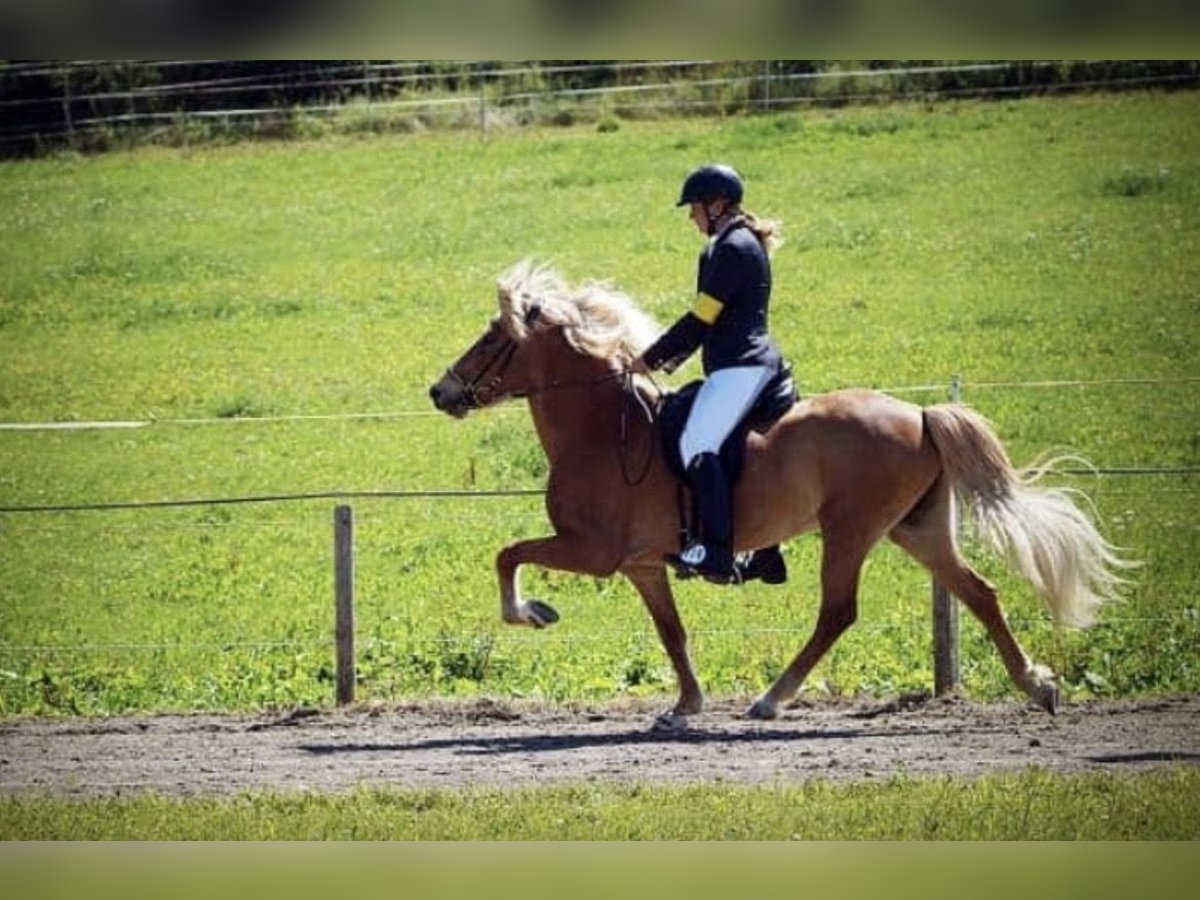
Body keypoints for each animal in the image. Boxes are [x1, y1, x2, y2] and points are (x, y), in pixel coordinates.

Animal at [428, 260, 1129, 728]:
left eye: (493, 337)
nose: (441, 391)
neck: (603, 428)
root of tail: (921, 413)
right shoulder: (642, 565)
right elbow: (672, 633)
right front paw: (686, 706)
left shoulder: (592, 551)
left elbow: (507, 554)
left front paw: (532, 613)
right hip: (916, 527)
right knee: (979, 593)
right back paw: (1038, 686)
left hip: (851, 529)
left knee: (838, 611)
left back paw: (772, 698)